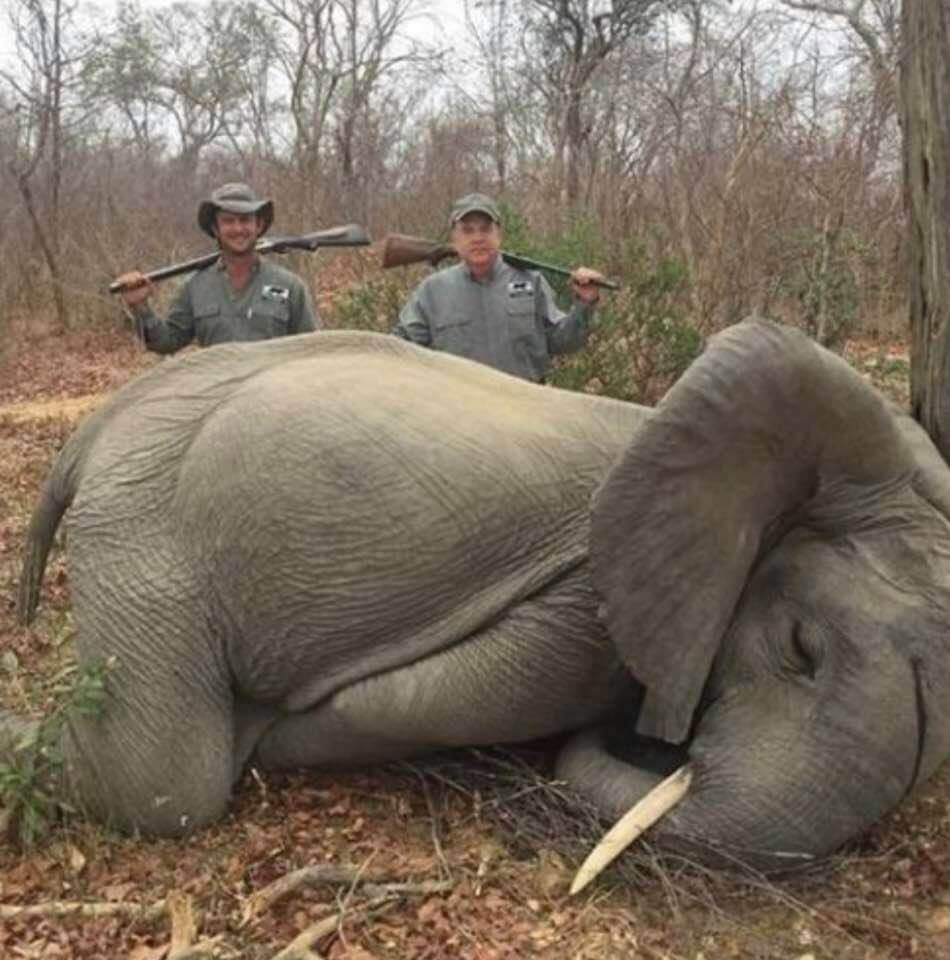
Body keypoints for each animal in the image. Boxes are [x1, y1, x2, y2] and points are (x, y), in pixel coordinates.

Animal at [8, 317, 950, 882]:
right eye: (799, 648)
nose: (649, 746)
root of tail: (93, 433)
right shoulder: (585, 609)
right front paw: (274, 731)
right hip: (143, 530)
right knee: (162, 783)